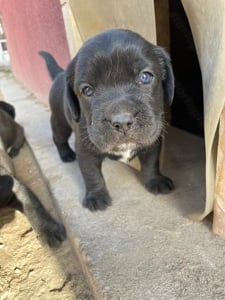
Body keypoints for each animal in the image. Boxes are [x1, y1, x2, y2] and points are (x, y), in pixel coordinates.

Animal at [39, 28, 175, 211]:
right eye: (87, 90)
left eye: (145, 77)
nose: (122, 121)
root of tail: (60, 74)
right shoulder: (85, 150)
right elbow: (91, 174)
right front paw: (96, 196)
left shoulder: (152, 140)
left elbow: (151, 162)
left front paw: (155, 180)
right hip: (60, 121)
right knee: (58, 138)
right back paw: (66, 154)